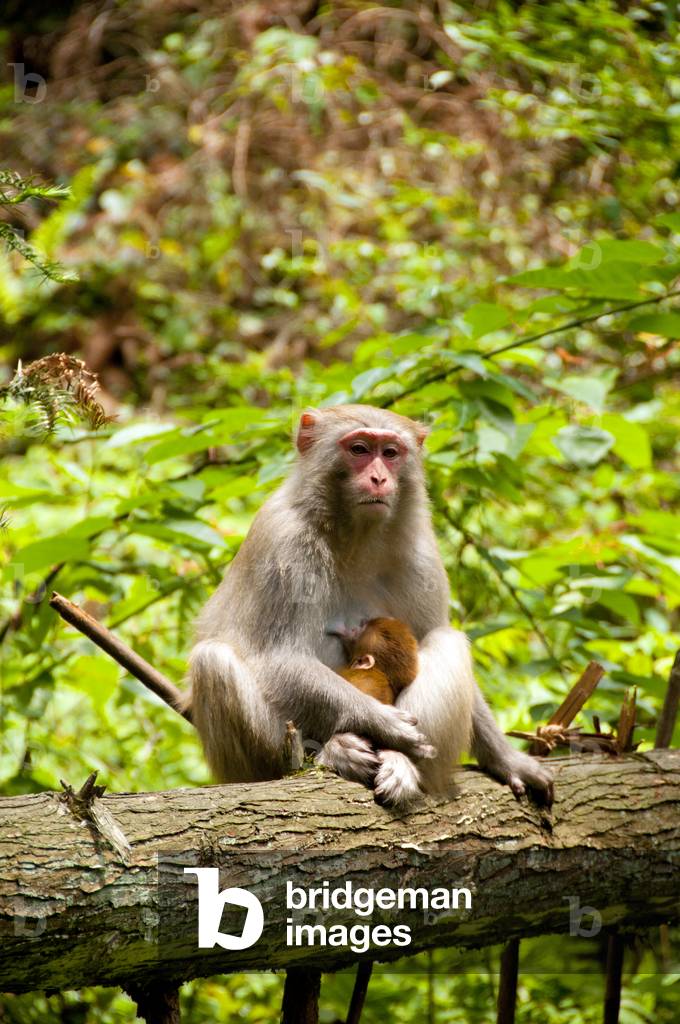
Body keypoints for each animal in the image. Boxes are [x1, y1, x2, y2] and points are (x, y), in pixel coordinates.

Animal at [184, 404, 554, 810]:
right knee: (214, 661)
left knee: (446, 639)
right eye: (359, 449)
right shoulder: (284, 542)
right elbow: (280, 657)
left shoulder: (422, 554)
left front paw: (506, 758)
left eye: (390, 453)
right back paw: (334, 753)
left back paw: (400, 763)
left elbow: (429, 632)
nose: (378, 478)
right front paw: (384, 723)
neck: (355, 535)